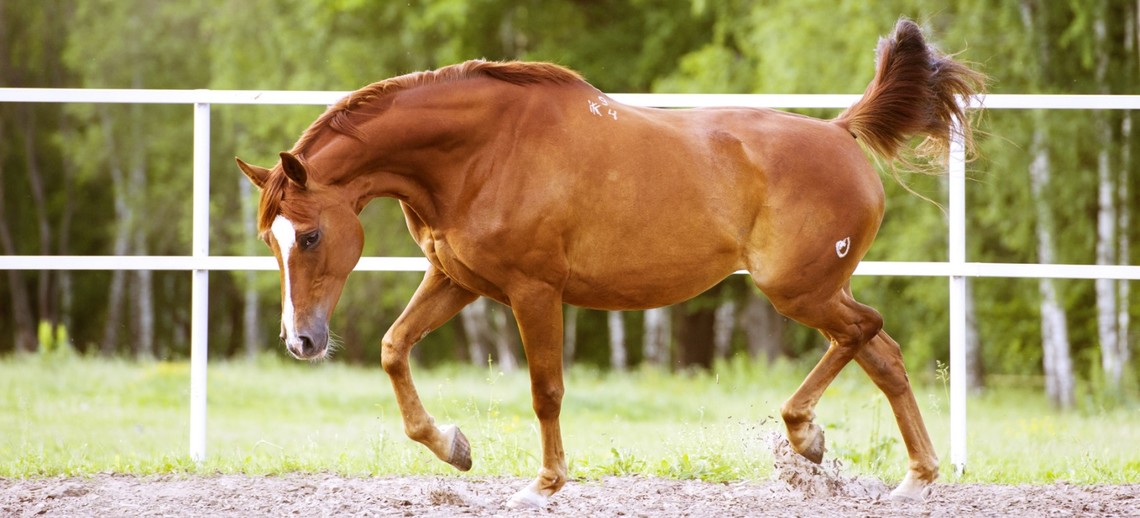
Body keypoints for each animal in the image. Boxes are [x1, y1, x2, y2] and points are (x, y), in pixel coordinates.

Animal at [233, 19, 980, 506]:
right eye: (270, 239)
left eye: (308, 237)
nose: (302, 341)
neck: (479, 152)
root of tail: (841, 132)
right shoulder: (458, 280)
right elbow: (394, 348)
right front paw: (454, 446)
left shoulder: (534, 290)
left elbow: (546, 390)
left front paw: (543, 486)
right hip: (815, 290)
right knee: (883, 352)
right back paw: (911, 478)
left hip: (798, 289)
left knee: (865, 333)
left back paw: (810, 438)